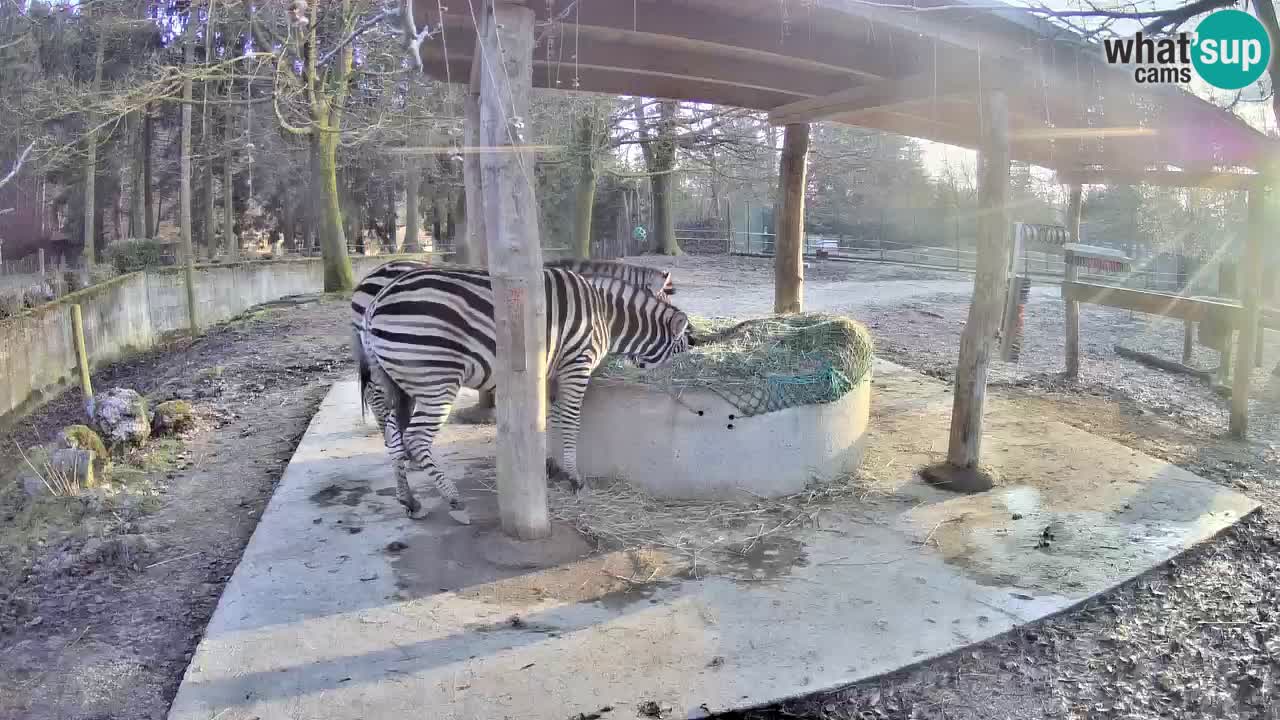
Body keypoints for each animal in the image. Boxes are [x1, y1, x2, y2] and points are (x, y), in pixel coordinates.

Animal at [360, 266, 691, 525]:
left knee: (393, 437)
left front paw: (552, 468)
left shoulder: (551, 373)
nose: (696, 341)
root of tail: (376, 302)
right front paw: (574, 478)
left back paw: (410, 501)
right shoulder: (577, 365)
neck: (605, 314)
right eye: (684, 344)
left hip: (395, 383)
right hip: (435, 379)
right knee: (416, 438)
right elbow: (570, 421)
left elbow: (553, 419)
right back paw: (455, 502)